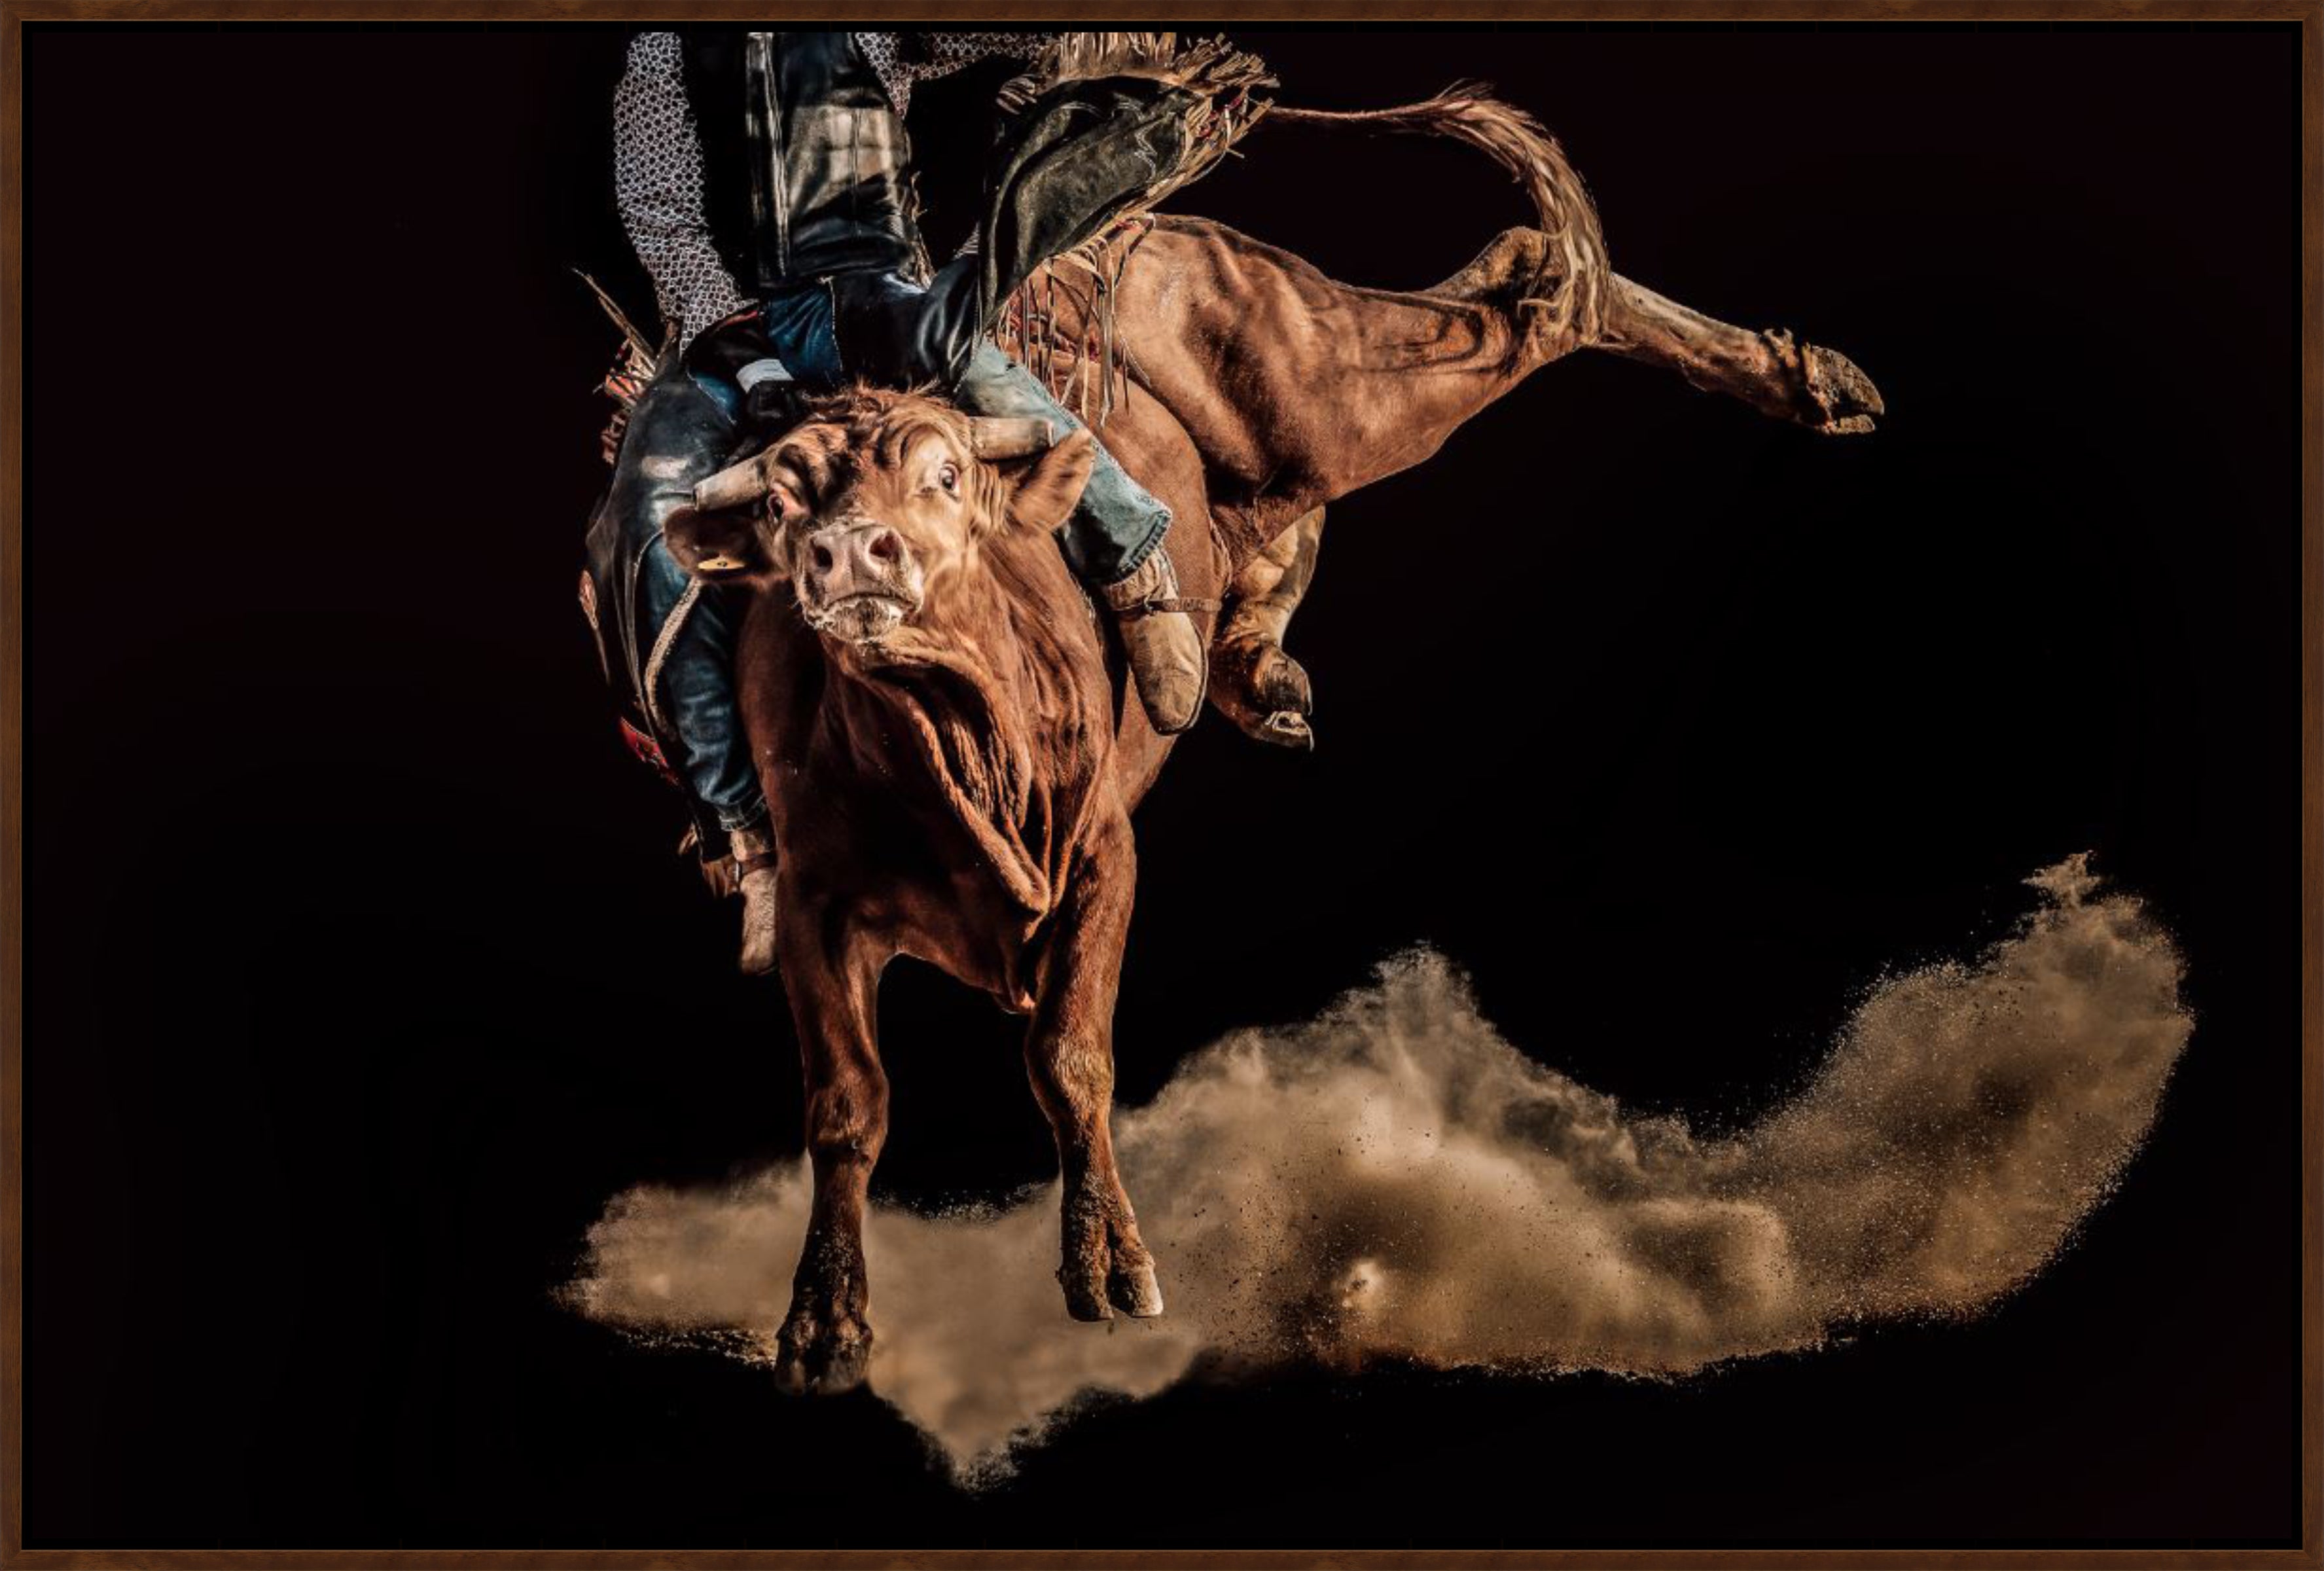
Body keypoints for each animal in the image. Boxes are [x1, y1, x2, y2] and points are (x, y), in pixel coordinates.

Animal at [659, 88, 1882, 1394]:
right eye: (781, 498)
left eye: (944, 474)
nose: (851, 552)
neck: (948, 747)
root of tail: (1135, 234)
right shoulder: (815, 903)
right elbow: (847, 1106)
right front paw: (822, 1322)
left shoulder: (1103, 856)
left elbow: (1069, 1056)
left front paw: (1111, 1268)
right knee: (1449, 351)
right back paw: (1255, 673)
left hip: (1328, 386)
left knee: (1533, 293)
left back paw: (1815, 379)